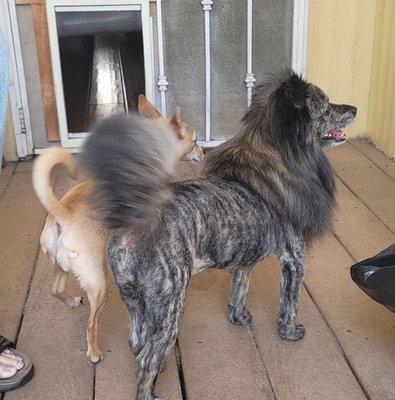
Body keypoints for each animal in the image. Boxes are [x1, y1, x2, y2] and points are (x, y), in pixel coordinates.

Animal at [32, 98, 203, 364]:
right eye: (194, 141)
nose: (203, 151)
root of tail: (63, 213)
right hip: (98, 283)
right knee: (91, 324)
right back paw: (94, 352)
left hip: (62, 265)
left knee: (55, 289)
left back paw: (71, 301)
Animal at [82, 72, 358, 400]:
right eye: (326, 106)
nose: (354, 109)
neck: (277, 156)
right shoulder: (294, 260)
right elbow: (290, 303)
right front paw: (289, 333)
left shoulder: (244, 260)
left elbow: (239, 289)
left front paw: (239, 318)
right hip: (171, 308)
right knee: (147, 358)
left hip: (135, 303)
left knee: (137, 343)